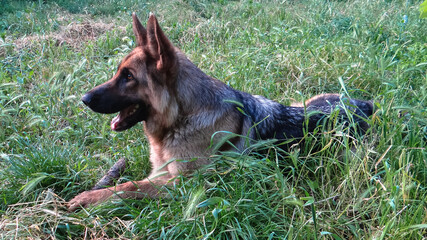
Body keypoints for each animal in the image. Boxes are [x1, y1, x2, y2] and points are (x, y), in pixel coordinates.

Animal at [67, 14, 374, 211]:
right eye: (118, 72)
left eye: (128, 76)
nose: (84, 99)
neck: (182, 116)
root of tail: (365, 106)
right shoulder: (161, 174)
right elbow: (129, 182)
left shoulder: (180, 185)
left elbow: (129, 186)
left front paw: (89, 198)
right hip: (304, 101)